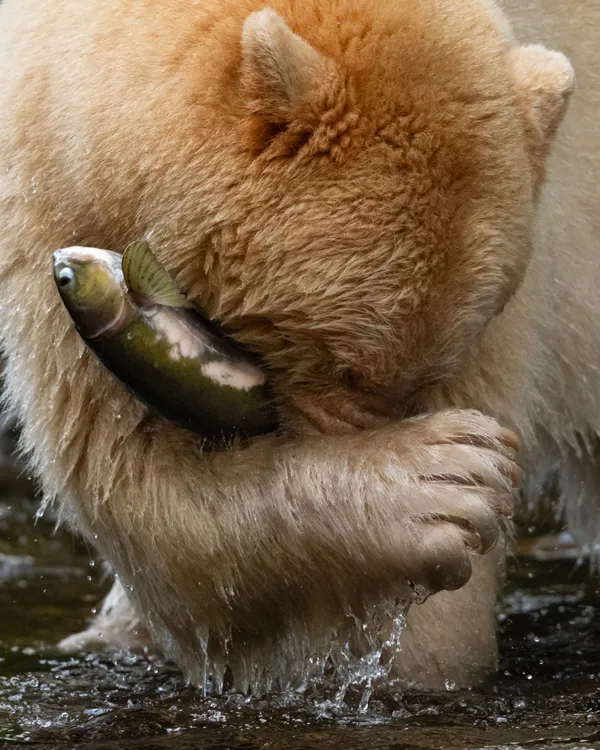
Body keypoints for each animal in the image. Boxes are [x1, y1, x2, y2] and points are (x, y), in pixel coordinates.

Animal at [0, 0, 595, 693]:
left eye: (424, 376)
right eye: (349, 369)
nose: (370, 433)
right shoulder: (56, 204)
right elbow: (132, 480)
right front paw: (433, 486)